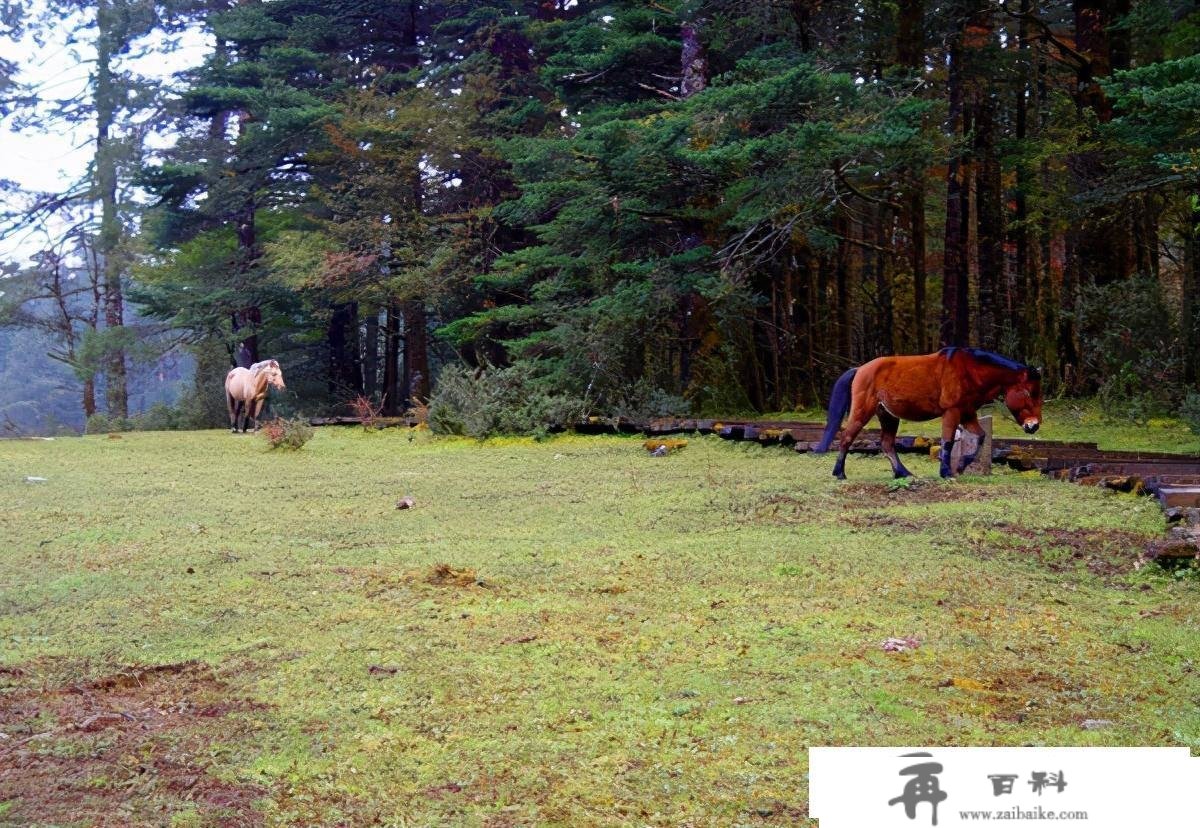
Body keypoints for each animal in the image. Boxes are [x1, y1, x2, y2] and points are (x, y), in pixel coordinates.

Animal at [816, 348, 1041, 477]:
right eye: (1029, 392)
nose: (1034, 425)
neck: (970, 371)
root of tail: (859, 369)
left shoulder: (967, 413)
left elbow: (980, 437)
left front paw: (960, 466)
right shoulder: (952, 412)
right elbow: (947, 441)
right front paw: (946, 472)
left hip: (888, 416)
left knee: (887, 444)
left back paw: (902, 473)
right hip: (863, 411)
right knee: (846, 437)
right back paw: (839, 473)